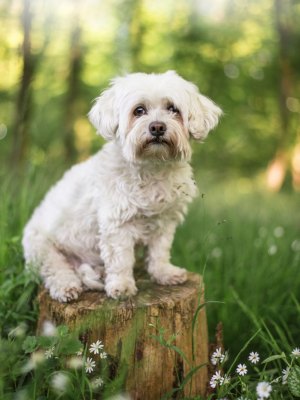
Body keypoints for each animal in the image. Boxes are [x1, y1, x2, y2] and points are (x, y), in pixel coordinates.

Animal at [22, 72, 221, 304]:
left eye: (173, 109)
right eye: (139, 110)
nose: (157, 127)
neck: (152, 167)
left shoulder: (164, 222)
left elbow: (159, 252)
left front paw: (164, 273)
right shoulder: (117, 225)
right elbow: (121, 259)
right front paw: (122, 286)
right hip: (42, 249)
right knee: (55, 270)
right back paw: (66, 287)